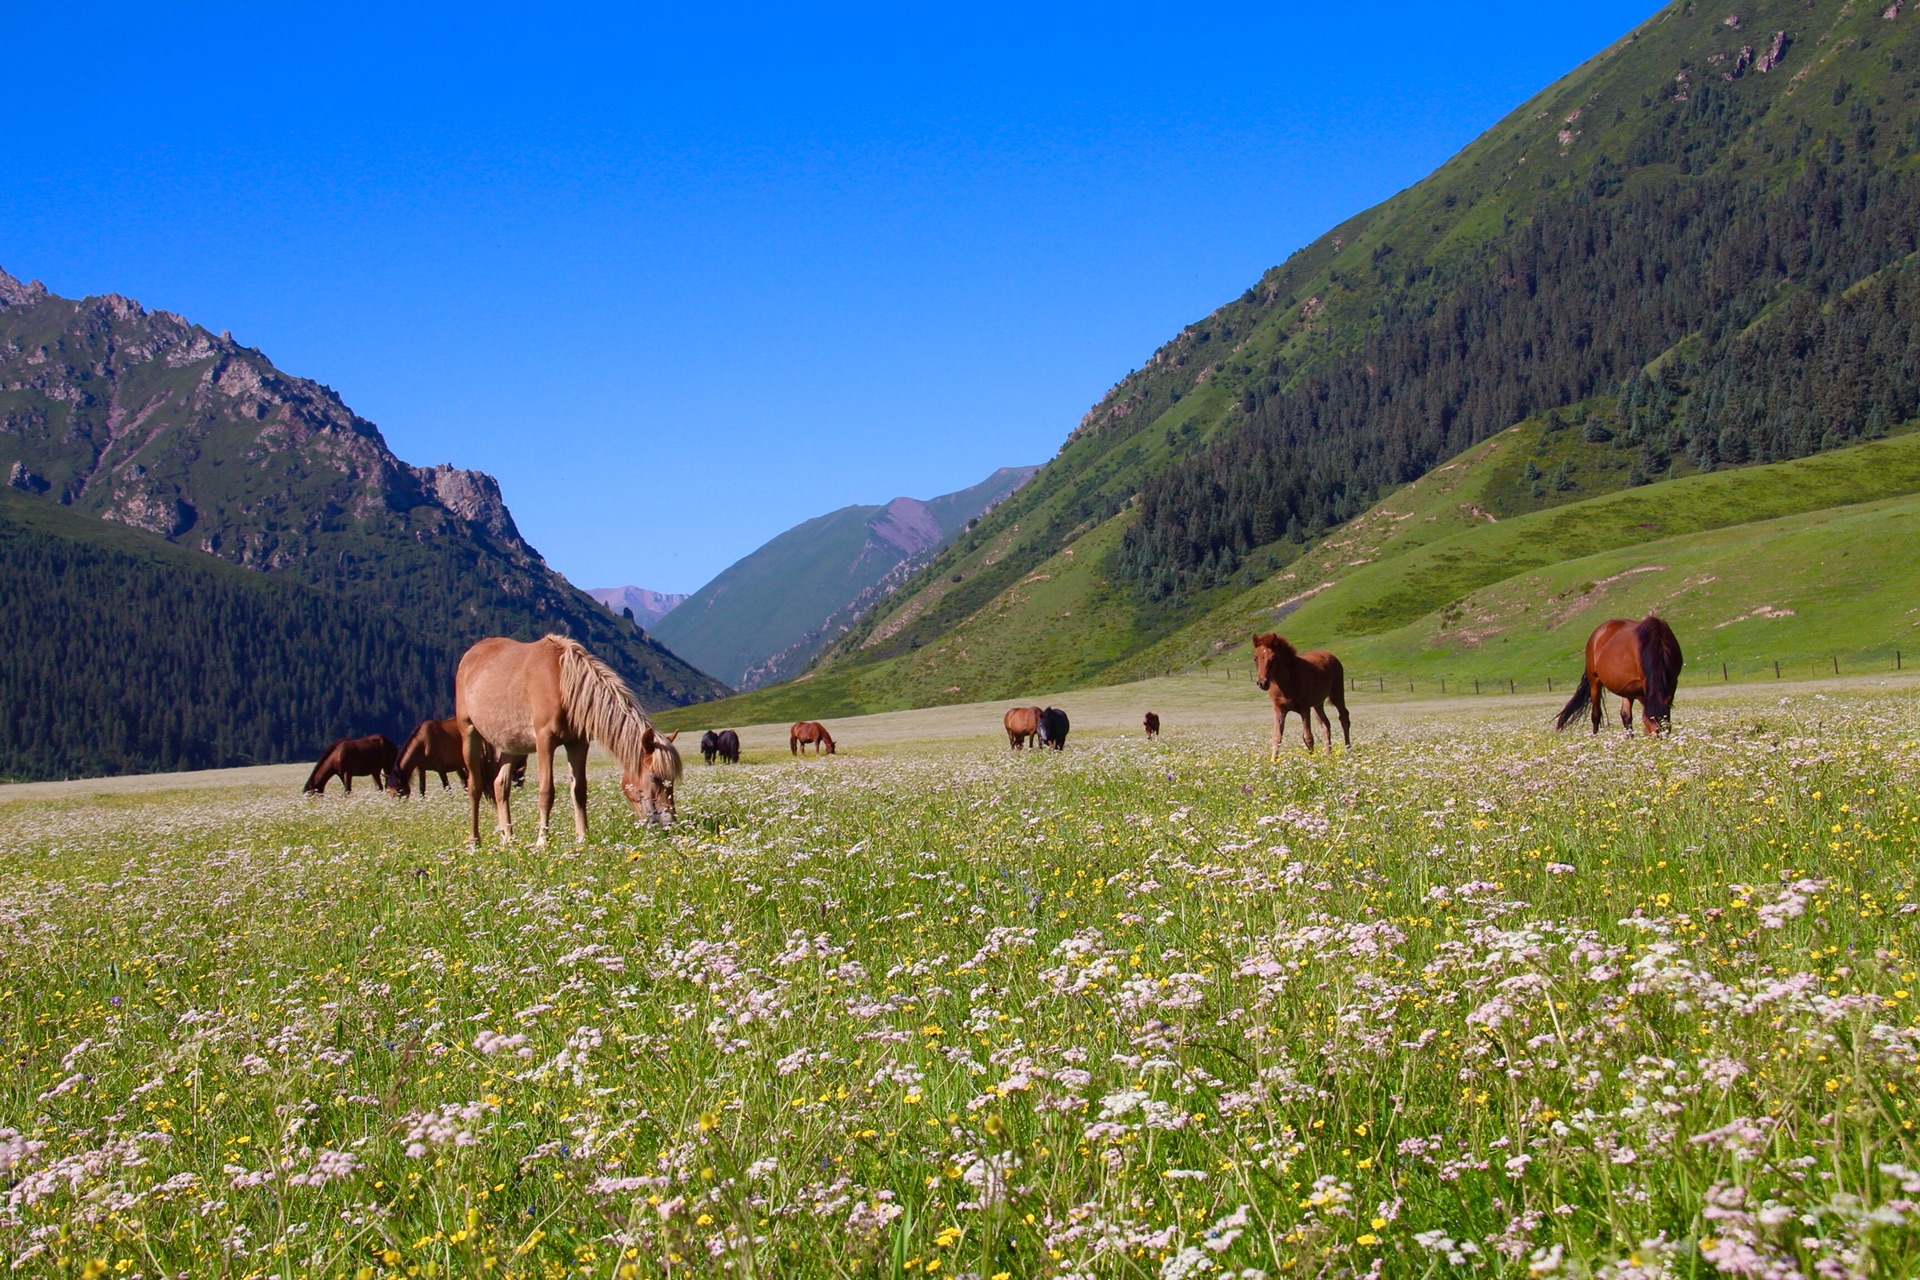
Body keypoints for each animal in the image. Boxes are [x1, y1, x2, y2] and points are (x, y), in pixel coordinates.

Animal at [455, 637, 683, 844]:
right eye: (654, 777)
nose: (669, 823)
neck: (563, 684)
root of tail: (470, 655)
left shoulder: (578, 743)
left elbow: (579, 790)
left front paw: (583, 837)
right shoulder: (545, 741)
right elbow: (546, 792)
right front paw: (542, 842)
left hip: (512, 744)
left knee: (500, 785)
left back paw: (508, 838)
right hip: (469, 733)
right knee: (474, 787)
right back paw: (474, 841)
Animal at [1551, 614, 1689, 736]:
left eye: (1665, 721)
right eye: (1646, 720)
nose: (1659, 738)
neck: (1659, 644)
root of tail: (1596, 633)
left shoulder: (1672, 682)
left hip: (1627, 687)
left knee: (1625, 716)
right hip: (1594, 680)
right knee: (1596, 715)